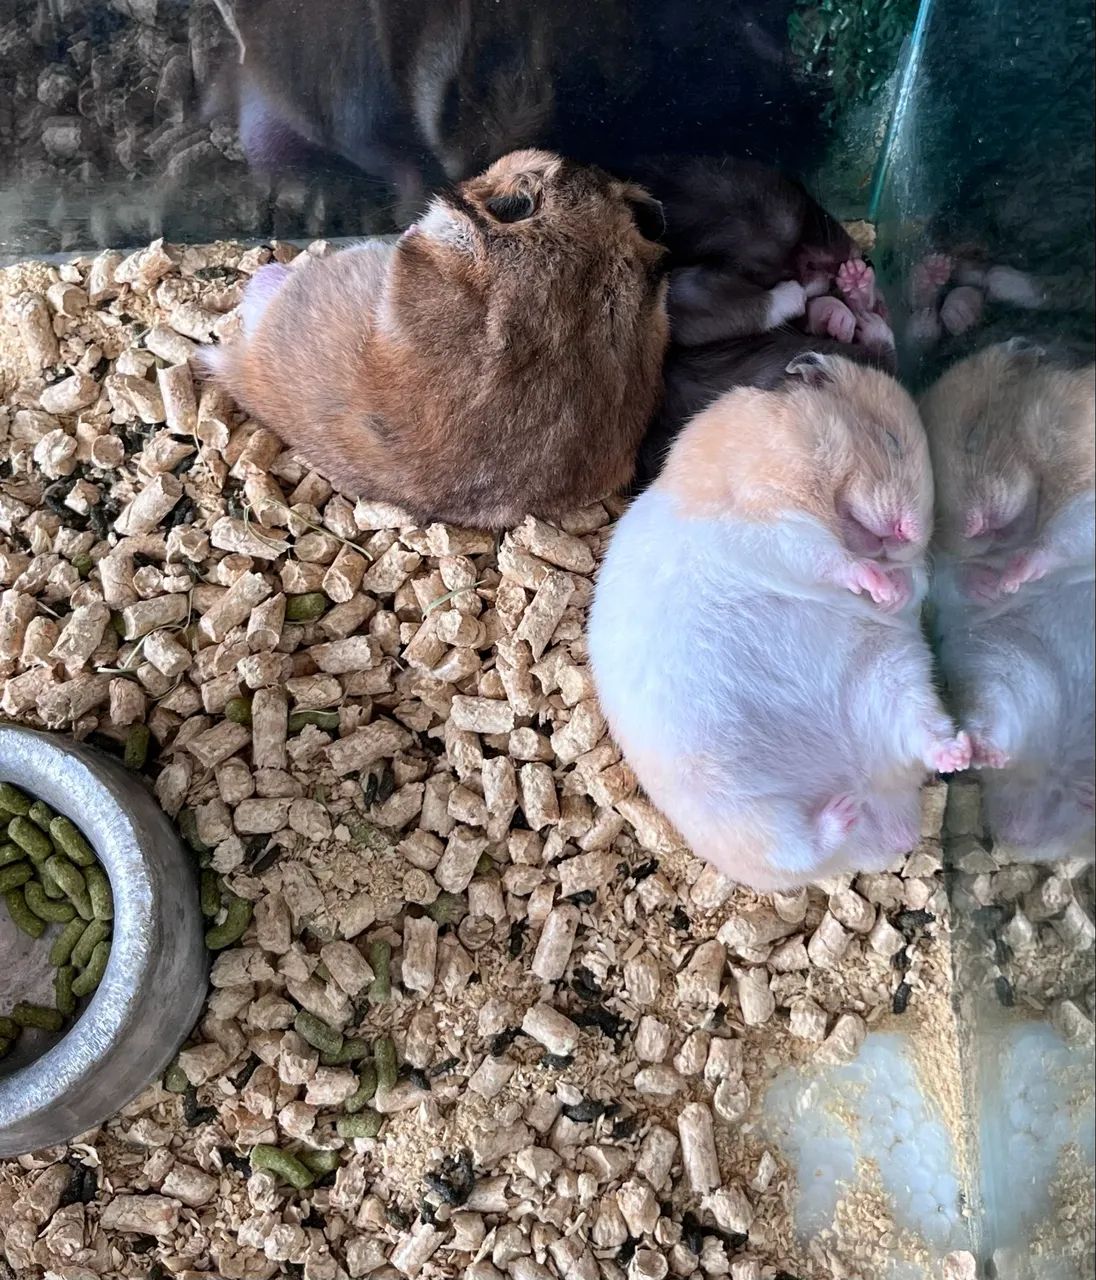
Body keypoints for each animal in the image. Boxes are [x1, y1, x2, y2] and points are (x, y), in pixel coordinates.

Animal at [589, 353, 967, 891]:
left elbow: (906, 584)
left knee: (924, 737)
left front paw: (891, 590)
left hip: (896, 680)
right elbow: (828, 558)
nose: (909, 534)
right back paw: (842, 814)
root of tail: (881, 809)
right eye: (890, 441)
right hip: (741, 807)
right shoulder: (770, 520)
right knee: (799, 850)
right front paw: (877, 584)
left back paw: (962, 753)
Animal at [921, 339, 1096, 860]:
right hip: (1000, 670)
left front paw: (1014, 577)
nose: (978, 527)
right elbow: (964, 579)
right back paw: (975, 753)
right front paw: (1000, 585)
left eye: (977, 435)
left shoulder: (1082, 501)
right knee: (994, 726)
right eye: (938, 502)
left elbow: (1059, 540)